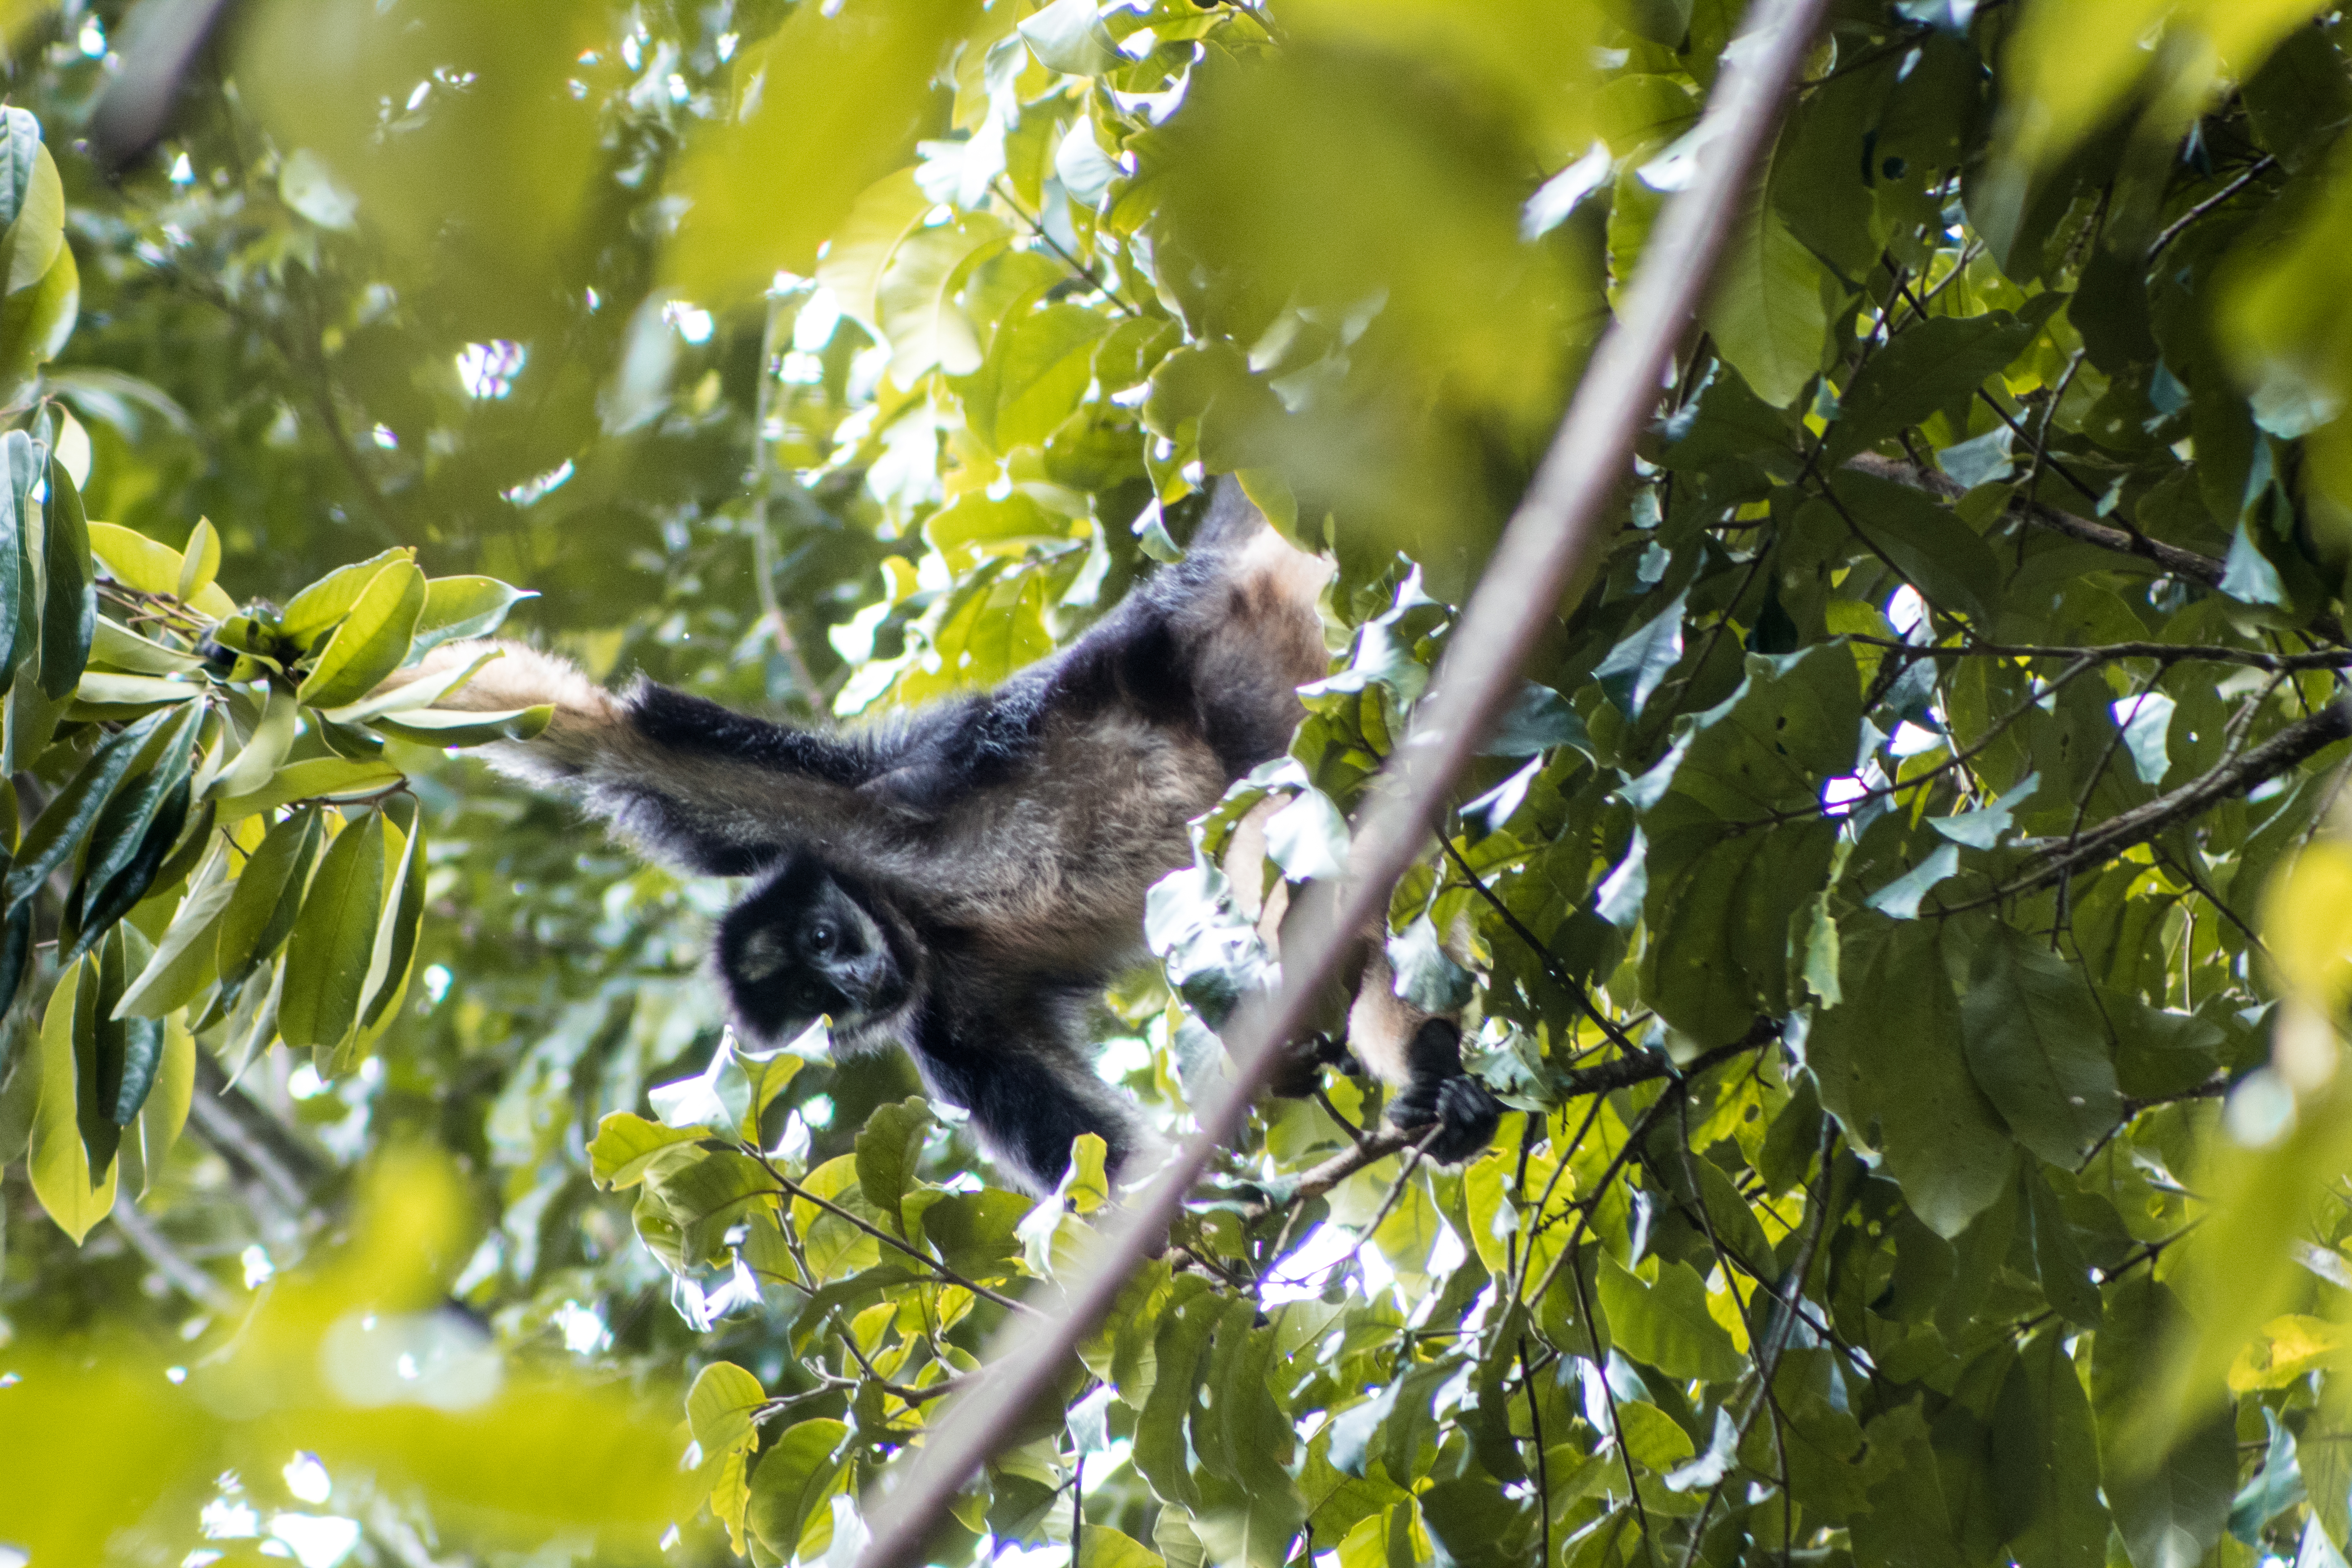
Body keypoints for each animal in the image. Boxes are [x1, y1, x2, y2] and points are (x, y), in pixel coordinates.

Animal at [394, 480, 1501, 1194]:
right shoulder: (948, 1023)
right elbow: (1117, 1181)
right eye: (813, 998)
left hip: (1224, 657)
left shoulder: (843, 814)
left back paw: (1422, 1068)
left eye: (825, 942)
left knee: (1269, 826)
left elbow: (599, 738)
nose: (852, 980)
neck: (927, 919)